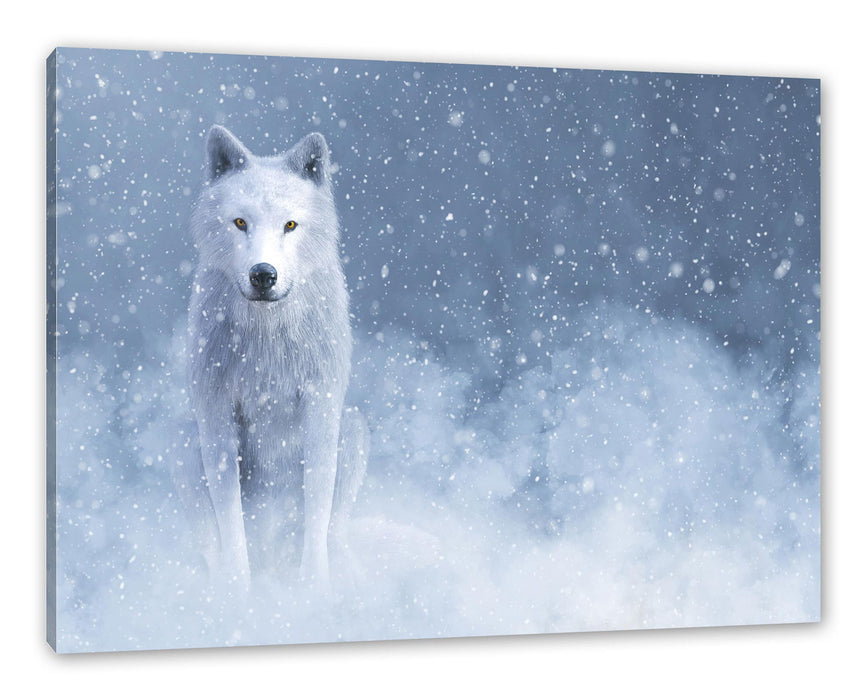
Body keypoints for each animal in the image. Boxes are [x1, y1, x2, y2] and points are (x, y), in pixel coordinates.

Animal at [176, 125, 368, 593]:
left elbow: (317, 506)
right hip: (185, 441)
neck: (267, 338)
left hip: (353, 428)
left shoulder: (321, 408)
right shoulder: (216, 414)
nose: (263, 275)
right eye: (240, 222)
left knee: (334, 528)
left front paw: (313, 588)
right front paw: (238, 591)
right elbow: (230, 519)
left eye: (290, 225)